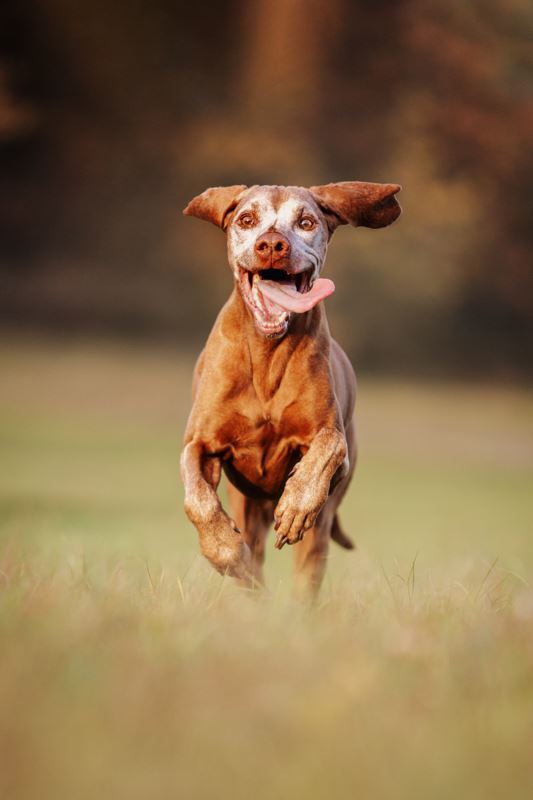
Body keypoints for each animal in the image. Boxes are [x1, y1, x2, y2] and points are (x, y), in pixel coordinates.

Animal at [179, 181, 400, 592]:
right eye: (247, 219)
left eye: (306, 222)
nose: (271, 244)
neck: (267, 354)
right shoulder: (201, 442)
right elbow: (197, 497)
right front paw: (224, 551)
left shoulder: (336, 448)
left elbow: (328, 446)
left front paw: (296, 505)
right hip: (247, 508)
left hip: (321, 529)